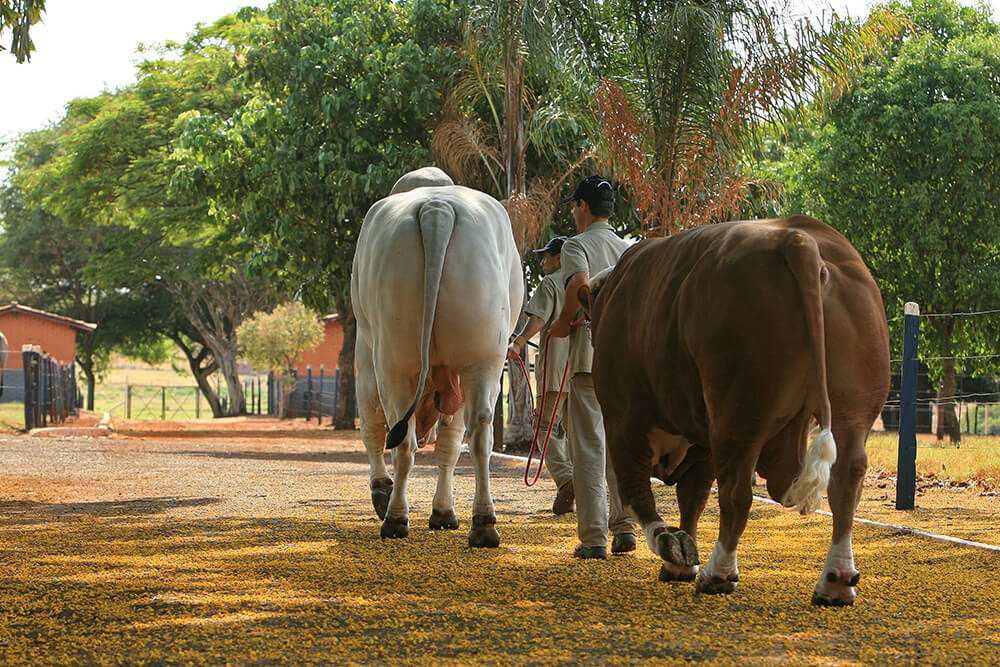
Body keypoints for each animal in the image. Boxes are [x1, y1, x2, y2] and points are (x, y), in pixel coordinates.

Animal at [352, 167, 524, 548]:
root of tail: (436, 209)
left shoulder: (365, 353)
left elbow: (371, 427)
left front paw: (382, 491)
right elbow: (449, 443)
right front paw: (444, 513)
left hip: (393, 360)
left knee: (400, 437)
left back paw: (395, 517)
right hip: (482, 357)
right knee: (478, 431)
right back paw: (483, 523)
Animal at [584, 215, 892, 604]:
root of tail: (799, 239)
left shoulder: (623, 418)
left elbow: (640, 488)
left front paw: (671, 546)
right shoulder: (699, 437)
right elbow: (693, 497)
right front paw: (680, 560)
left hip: (738, 411)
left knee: (736, 493)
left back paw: (718, 573)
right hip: (852, 406)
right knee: (846, 480)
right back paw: (835, 581)